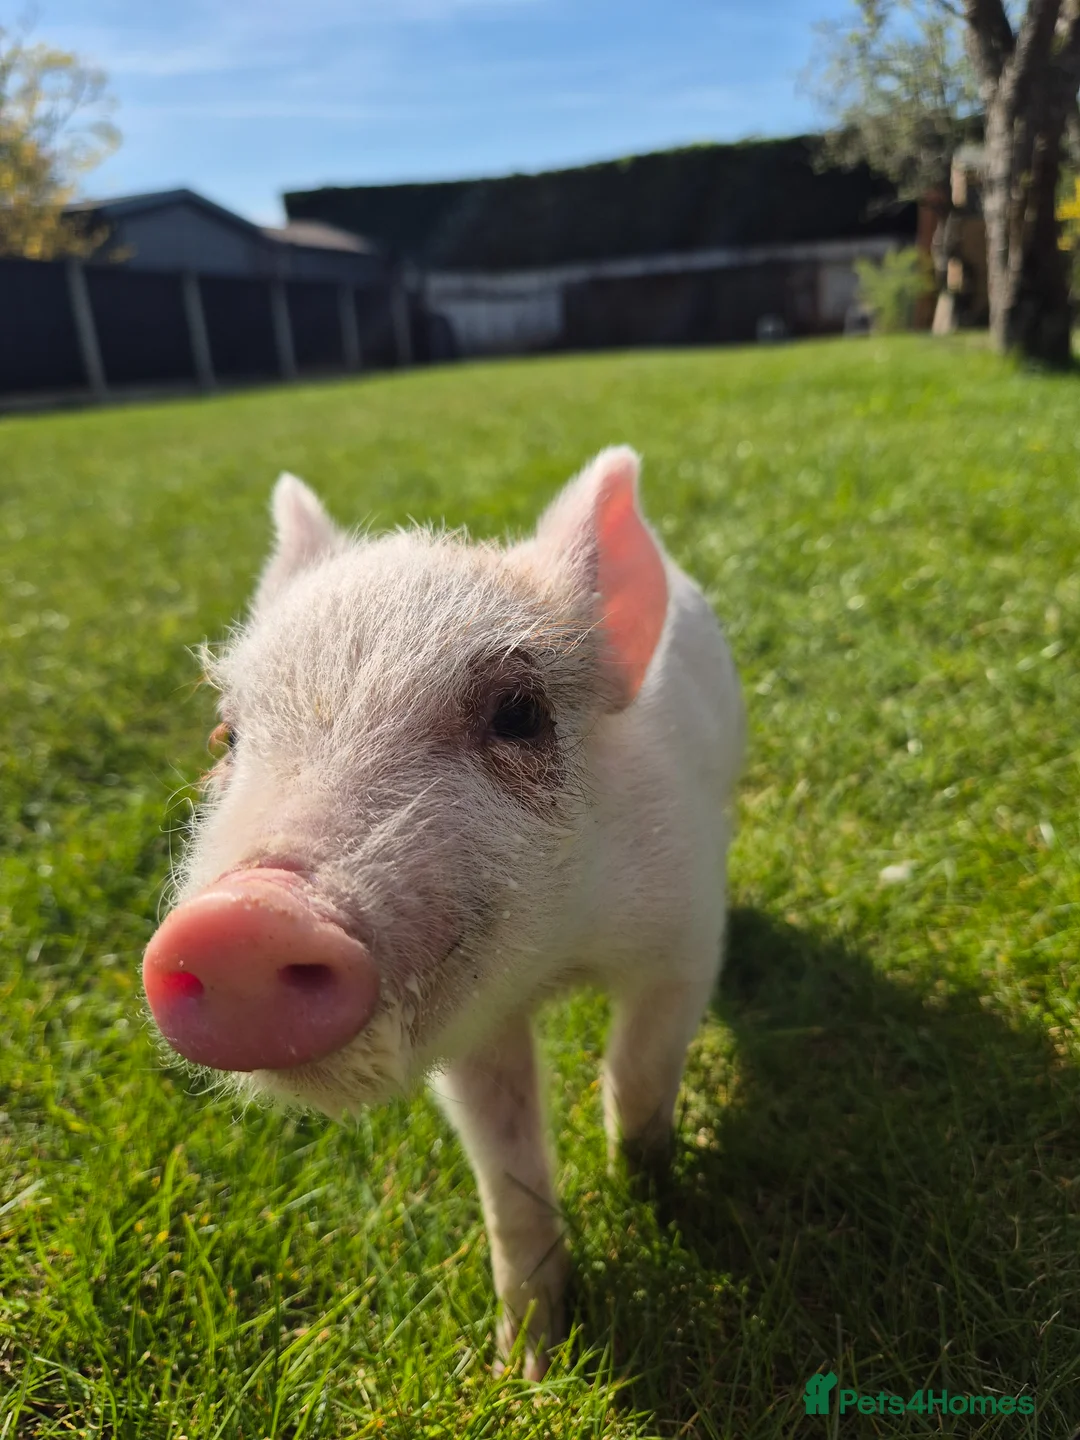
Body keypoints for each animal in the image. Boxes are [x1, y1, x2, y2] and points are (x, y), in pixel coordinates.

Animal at [142, 446, 744, 1379]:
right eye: (225, 739)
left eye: (520, 713)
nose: (243, 916)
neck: (556, 962)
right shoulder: (470, 1032)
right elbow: (508, 1174)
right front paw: (524, 1369)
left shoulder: (686, 929)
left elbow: (639, 1069)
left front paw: (647, 1186)